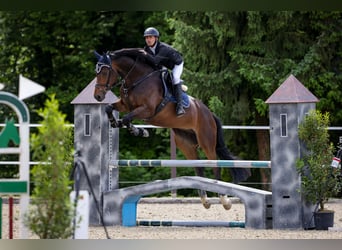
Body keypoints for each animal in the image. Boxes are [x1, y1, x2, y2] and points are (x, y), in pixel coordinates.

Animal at [93, 47, 251, 209]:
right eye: (96, 72)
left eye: (104, 72)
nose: (97, 97)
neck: (137, 79)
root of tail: (209, 113)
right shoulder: (125, 105)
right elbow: (110, 109)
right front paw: (116, 123)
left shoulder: (147, 110)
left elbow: (126, 118)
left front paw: (138, 131)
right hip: (185, 144)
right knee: (199, 167)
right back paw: (205, 200)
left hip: (207, 141)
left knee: (214, 165)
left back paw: (224, 199)